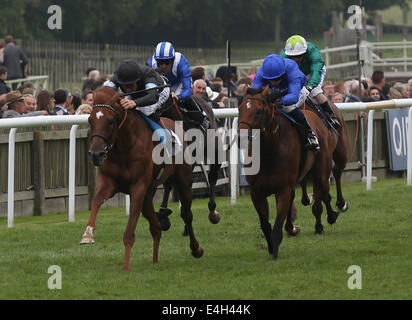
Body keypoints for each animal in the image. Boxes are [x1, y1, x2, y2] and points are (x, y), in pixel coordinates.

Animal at [79, 85, 203, 270]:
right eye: (90, 120)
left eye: (110, 121)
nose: (96, 154)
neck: (124, 147)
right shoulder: (109, 183)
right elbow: (96, 201)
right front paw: (88, 234)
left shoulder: (138, 187)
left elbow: (130, 230)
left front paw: (125, 266)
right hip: (148, 194)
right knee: (156, 226)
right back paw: (155, 260)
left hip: (183, 182)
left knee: (186, 215)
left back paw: (196, 249)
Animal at [238, 87, 342, 260]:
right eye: (240, 109)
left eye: (259, 111)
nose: (241, 137)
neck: (268, 152)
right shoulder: (256, 192)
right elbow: (265, 223)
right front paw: (271, 246)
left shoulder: (283, 189)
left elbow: (277, 222)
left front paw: (275, 251)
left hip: (321, 169)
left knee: (324, 192)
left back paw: (329, 217)